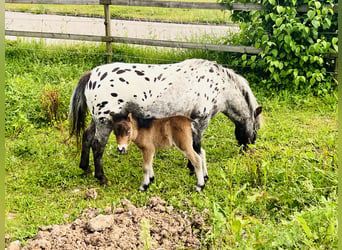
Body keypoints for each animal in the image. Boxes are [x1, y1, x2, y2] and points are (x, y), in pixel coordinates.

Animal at [69, 58, 262, 184]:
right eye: (255, 131)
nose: (248, 152)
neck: (219, 86)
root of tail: (92, 75)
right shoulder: (200, 122)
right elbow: (196, 147)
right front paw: (194, 171)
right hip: (104, 122)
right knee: (97, 145)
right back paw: (102, 178)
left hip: (97, 120)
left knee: (87, 137)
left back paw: (85, 168)